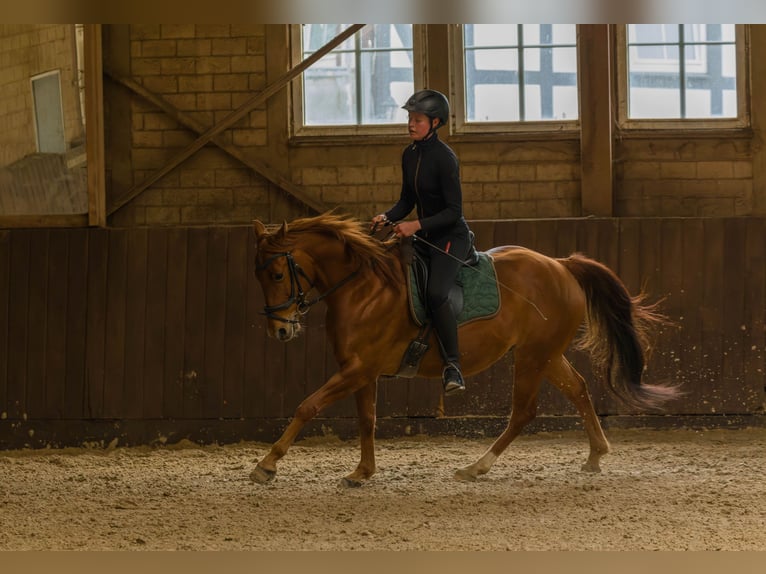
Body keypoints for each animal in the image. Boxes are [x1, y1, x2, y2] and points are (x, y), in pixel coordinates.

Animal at [250, 214, 680, 488]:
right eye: (259, 275)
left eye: (277, 274)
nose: (280, 330)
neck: (364, 288)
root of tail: (560, 264)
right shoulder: (361, 371)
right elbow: (366, 420)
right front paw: (363, 473)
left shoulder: (357, 369)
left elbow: (307, 406)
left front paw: (266, 465)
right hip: (546, 353)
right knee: (578, 390)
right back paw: (595, 455)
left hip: (532, 356)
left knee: (523, 412)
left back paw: (476, 467)